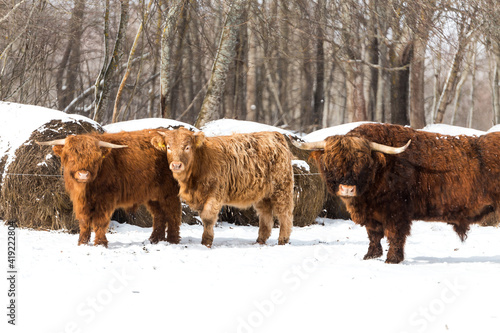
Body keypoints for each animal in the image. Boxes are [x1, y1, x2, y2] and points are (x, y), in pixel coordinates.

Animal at [37, 130, 182, 246]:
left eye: (95, 159)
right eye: (72, 157)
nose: (83, 174)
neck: (86, 189)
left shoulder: (106, 199)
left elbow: (100, 221)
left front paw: (100, 243)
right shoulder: (79, 201)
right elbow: (84, 222)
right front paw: (82, 243)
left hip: (169, 191)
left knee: (173, 214)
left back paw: (172, 240)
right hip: (153, 195)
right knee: (159, 215)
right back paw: (155, 240)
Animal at [150, 127, 294, 246]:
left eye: (187, 147)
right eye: (168, 147)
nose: (176, 165)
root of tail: (275, 135)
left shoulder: (215, 193)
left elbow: (207, 218)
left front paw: (206, 242)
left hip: (282, 189)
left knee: (284, 214)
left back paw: (283, 240)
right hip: (263, 194)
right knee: (266, 215)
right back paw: (260, 240)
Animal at [292, 123, 500, 264]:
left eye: (363, 164)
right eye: (333, 162)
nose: (347, 189)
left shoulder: (397, 212)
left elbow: (394, 235)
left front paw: (392, 259)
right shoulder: (372, 214)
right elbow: (374, 234)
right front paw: (370, 255)